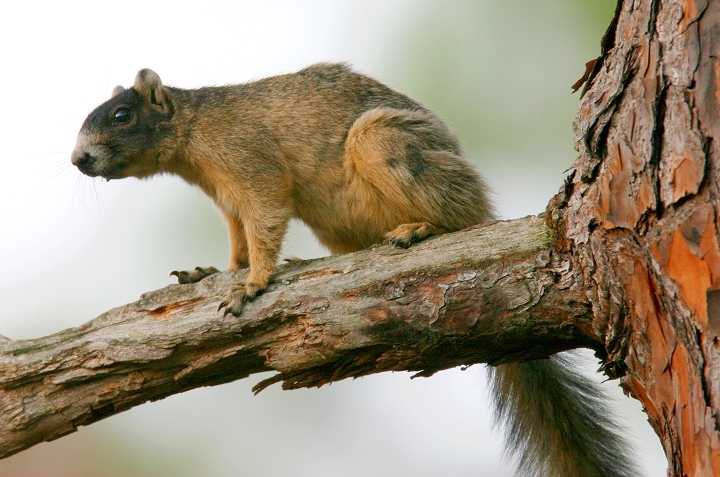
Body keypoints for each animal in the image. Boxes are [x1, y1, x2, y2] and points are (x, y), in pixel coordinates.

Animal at [71, 63, 637, 477]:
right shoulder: (226, 198)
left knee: (455, 217)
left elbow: (264, 222)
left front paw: (252, 284)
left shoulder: (251, 167)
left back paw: (419, 229)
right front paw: (212, 272)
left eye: (121, 114)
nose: (79, 160)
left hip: (387, 145)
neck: (194, 133)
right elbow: (238, 241)